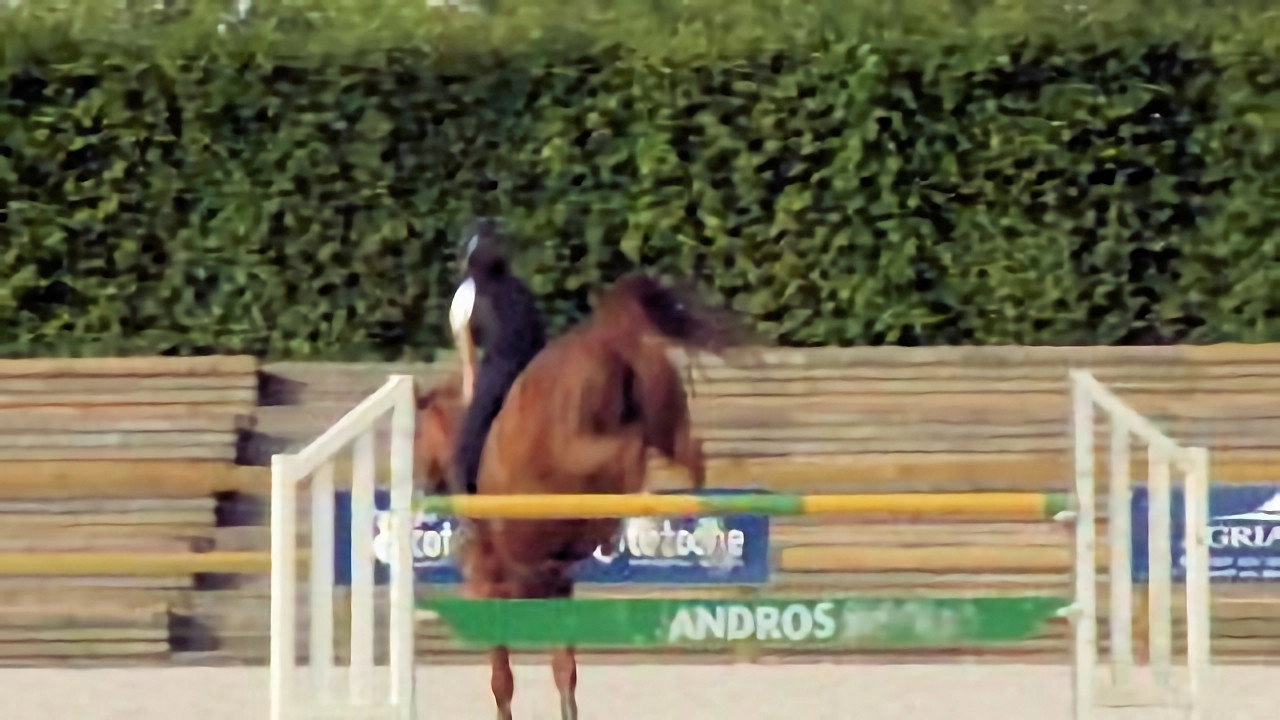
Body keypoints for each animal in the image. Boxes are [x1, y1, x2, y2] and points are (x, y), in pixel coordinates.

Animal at [416, 271, 750, 720]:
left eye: (416, 436)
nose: (424, 484)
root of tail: (608, 334)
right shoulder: (556, 586)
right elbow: (564, 672)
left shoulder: (488, 587)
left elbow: (503, 682)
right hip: (665, 416)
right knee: (688, 455)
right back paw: (703, 530)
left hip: (579, 450)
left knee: (631, 448)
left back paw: (644, 524)